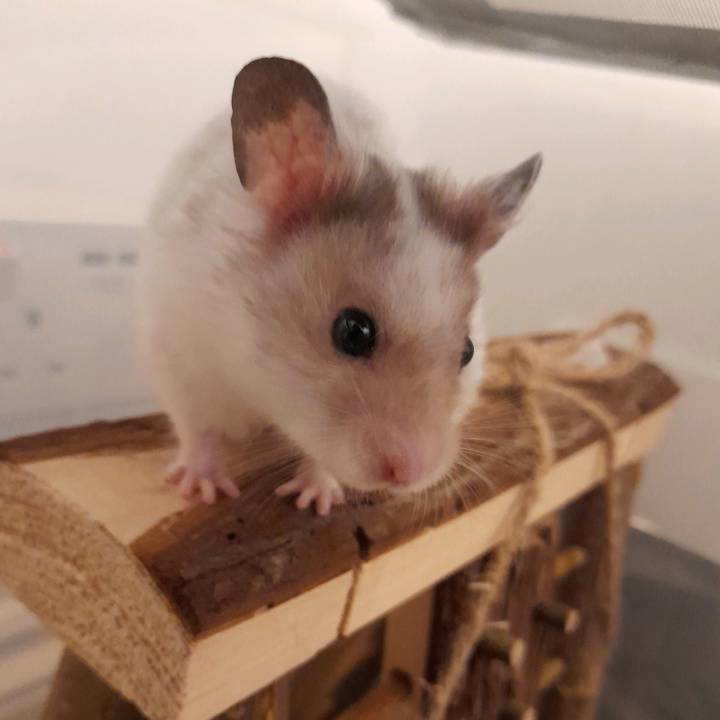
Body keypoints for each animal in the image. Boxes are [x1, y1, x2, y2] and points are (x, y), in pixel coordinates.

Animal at [138, 57, 541, 514]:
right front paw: (203, 489)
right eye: (352, 331)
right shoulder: (181, 356)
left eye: (468, 351)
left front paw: (316, 500)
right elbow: (198, 430)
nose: (411, 475)